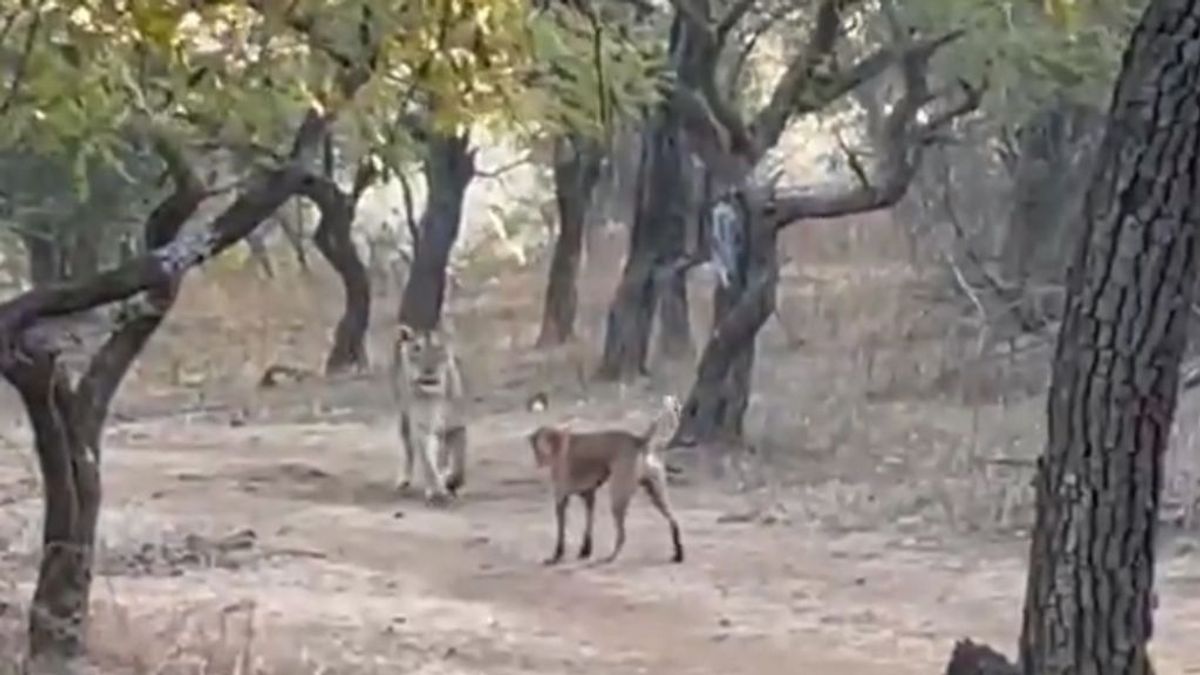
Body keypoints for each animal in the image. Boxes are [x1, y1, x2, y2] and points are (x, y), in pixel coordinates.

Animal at [528, 410, 686, 562]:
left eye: (537, 447)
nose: (538, 461)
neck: (558, 441)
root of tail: (639, 441)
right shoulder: (589, 497)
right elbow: (588, 525)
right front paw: (585, 550)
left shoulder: (561, 499)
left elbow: (561, 533)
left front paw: (557, 555)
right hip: (657, 493)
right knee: (674, 521)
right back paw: (678, 553)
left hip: (618, 498)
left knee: (622, 535)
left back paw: (612, 556)